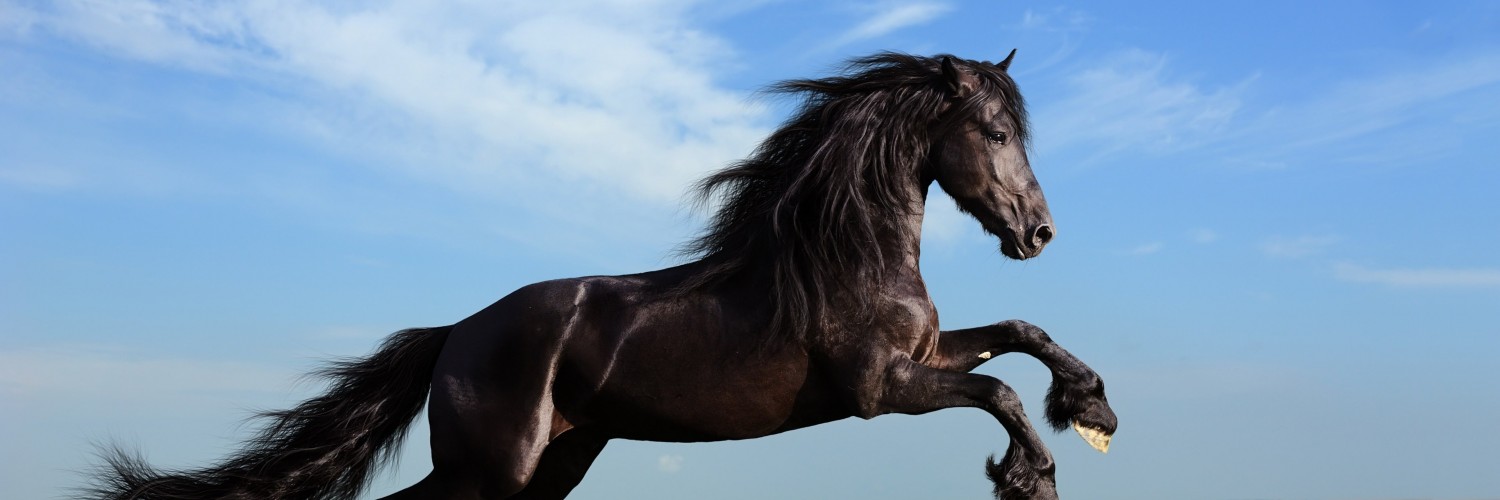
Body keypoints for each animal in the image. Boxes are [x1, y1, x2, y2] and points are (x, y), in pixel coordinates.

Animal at [82, 50, 1116, 498]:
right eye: (995, 132)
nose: (1039, 232)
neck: (845, 260)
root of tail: (453, 335)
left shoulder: (924, 355)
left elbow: (1018, 335)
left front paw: (1092, 407)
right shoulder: (880, 390)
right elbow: (996, 390)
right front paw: (1031, 474)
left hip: (556, 462)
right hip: (490, 472)